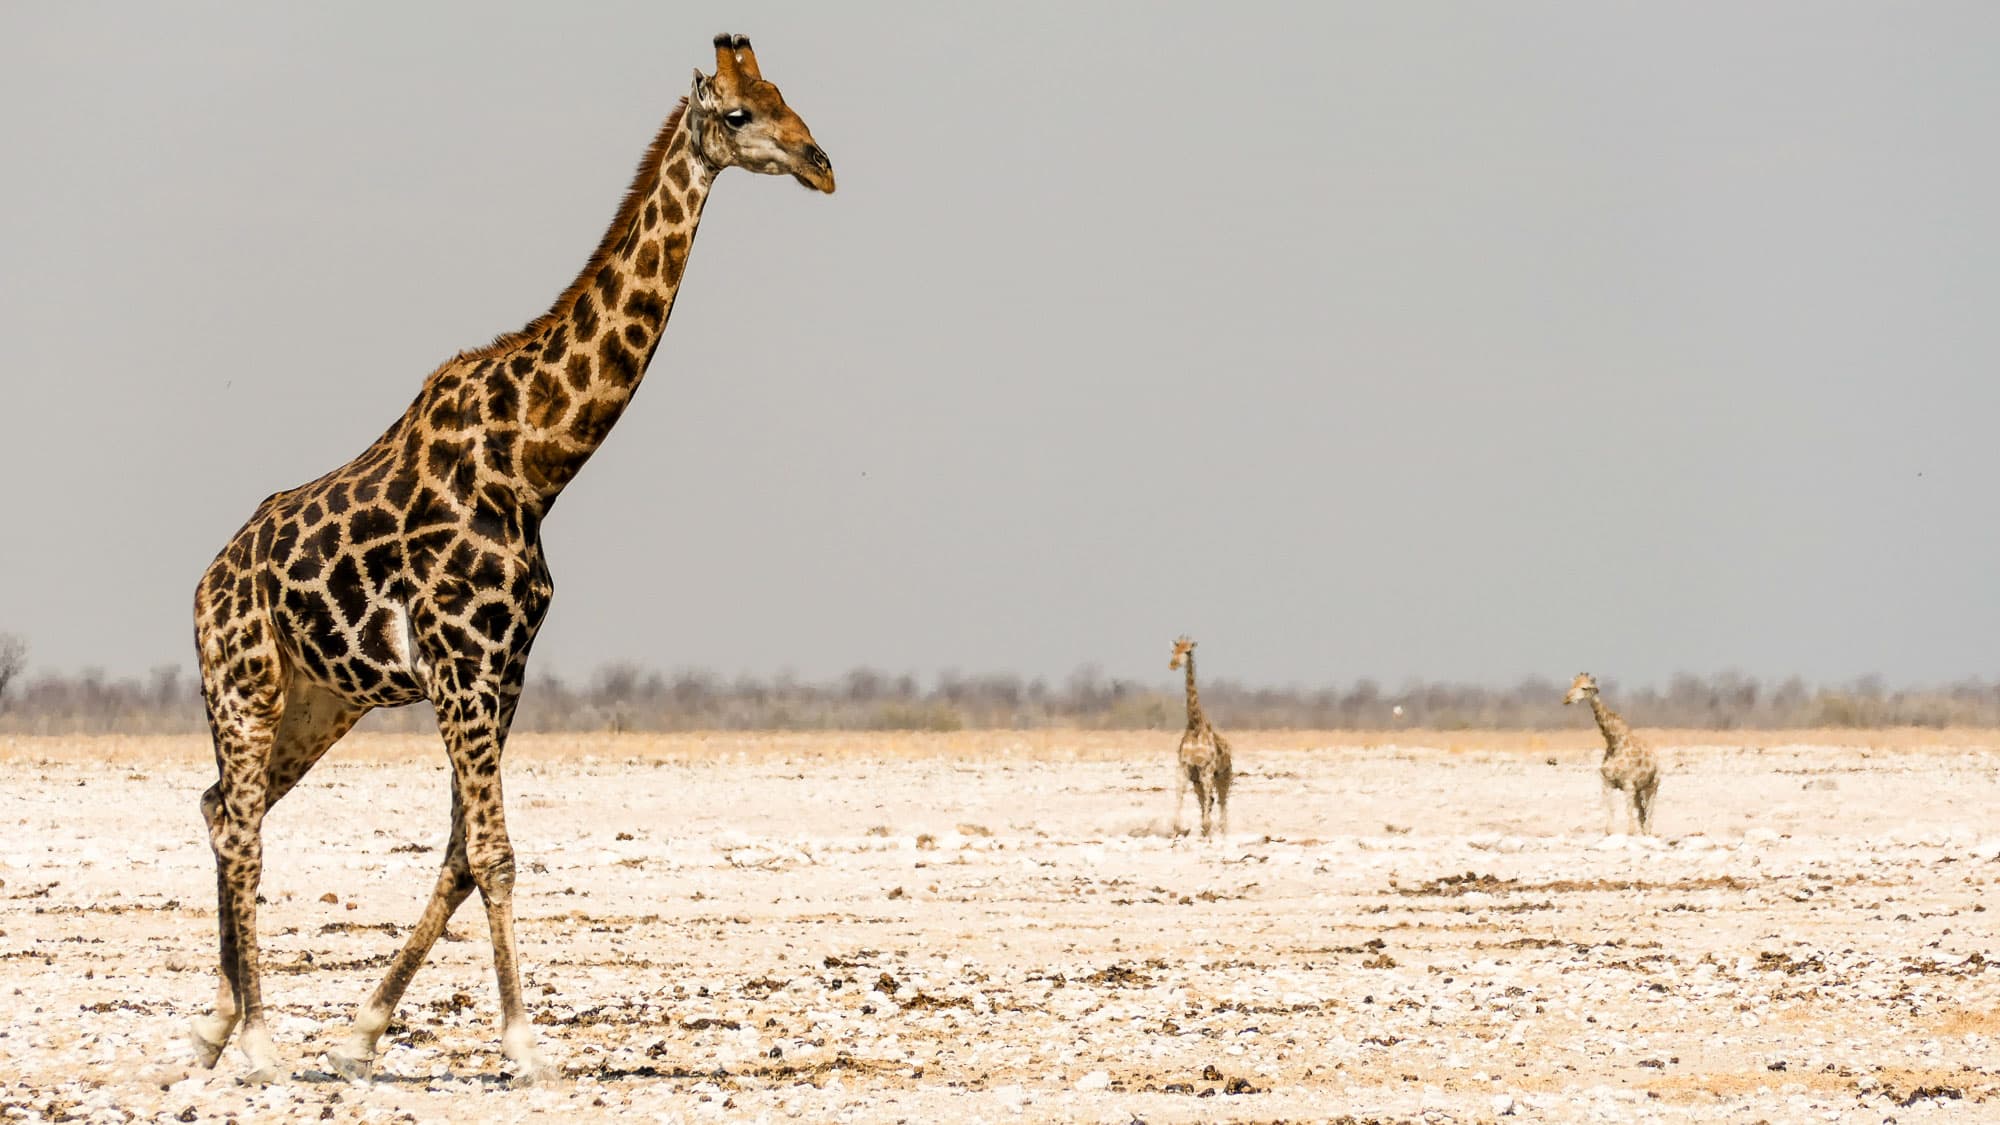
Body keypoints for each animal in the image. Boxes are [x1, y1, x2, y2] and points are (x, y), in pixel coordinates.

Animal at [185, 35, 833, 1085]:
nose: (822, 164)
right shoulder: (459, 660)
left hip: (320, 699)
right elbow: (493, 851)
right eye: (739, 114)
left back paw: (215, 1022)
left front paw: (364, 1031)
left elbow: (459, 851)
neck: (535, 462)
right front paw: (525, 1045)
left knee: (218, 806)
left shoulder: (502, 667)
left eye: (787, 95)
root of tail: (205, 581)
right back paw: (258, 1038)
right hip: (243, 679)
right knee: (241, 826)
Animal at [1168, 636, 1233, 837]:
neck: (1195, 725)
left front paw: (1206, 827)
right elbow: (1180, 793)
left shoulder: (1207, 768)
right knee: (1209, 800)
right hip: (1198, 779)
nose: (1173, 664)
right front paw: (1177, 829)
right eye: (1173, 650)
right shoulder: (1185, 767)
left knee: (1221, 801)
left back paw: (1221, 830)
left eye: (1188, 651)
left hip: (1225, 775)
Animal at [1563, 672, 1661, 836]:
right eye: (1572, 685)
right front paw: (1610, 831)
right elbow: (1610, 809)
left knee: (1650, 810)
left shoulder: (1628, 784)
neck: (1615, 742)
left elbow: (1628, 812)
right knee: (1641, 812)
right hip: (1638, 789)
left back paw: (1648, 831)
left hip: (1652, 785)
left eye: (1584, 688)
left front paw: (1630, 832)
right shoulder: (1607, 782)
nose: (1566, 699)